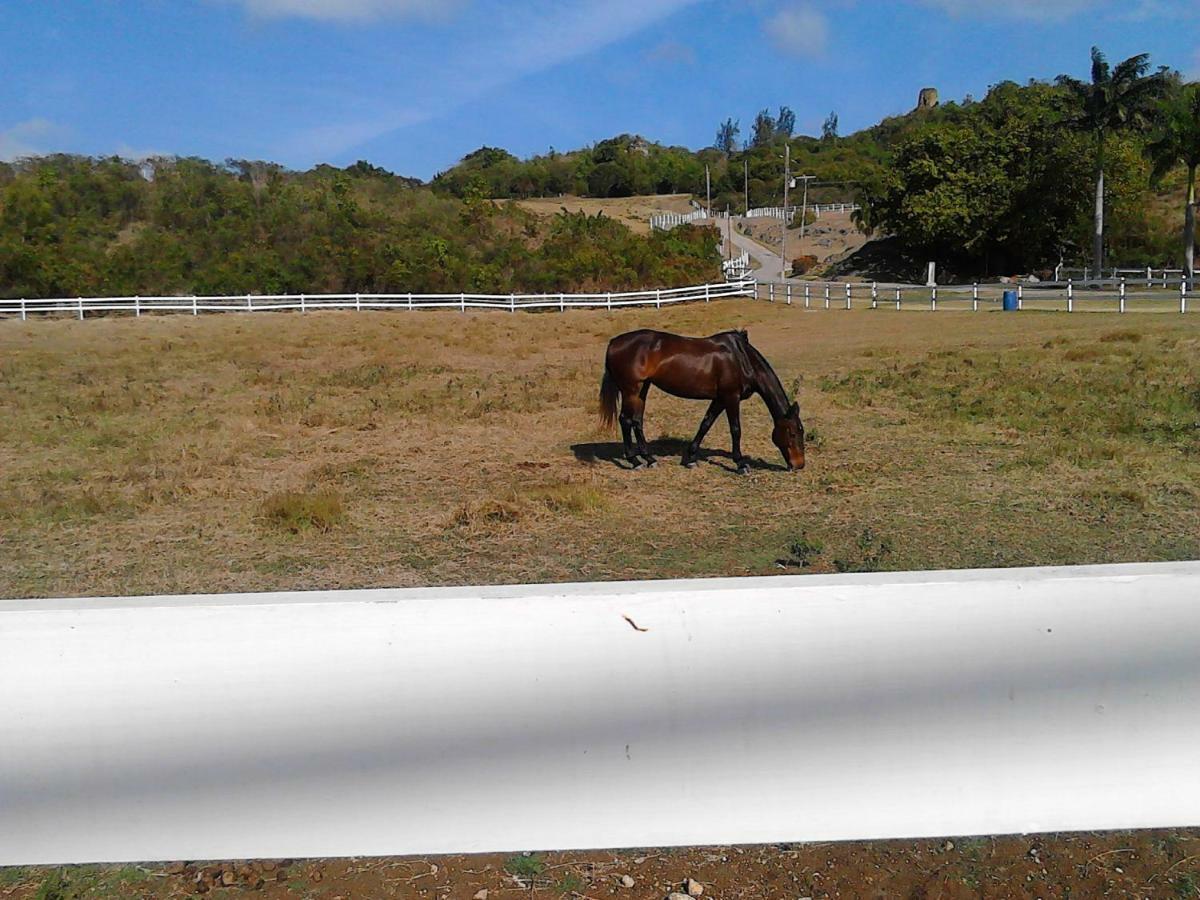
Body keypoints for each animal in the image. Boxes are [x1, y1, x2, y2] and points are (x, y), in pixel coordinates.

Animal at [600, 328, 806, 475]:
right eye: (793, 433)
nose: (799, 465)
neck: (742, 359)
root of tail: (613, 343)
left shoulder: (719, 399)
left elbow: (705, 424)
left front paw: (690, 458)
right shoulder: (731, 397)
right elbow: (736, 430)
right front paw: (740, 464)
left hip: (642, 389)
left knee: (637, 421)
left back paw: (649, 459)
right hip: (631, 390)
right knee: (625, 420)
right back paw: (634, 461)